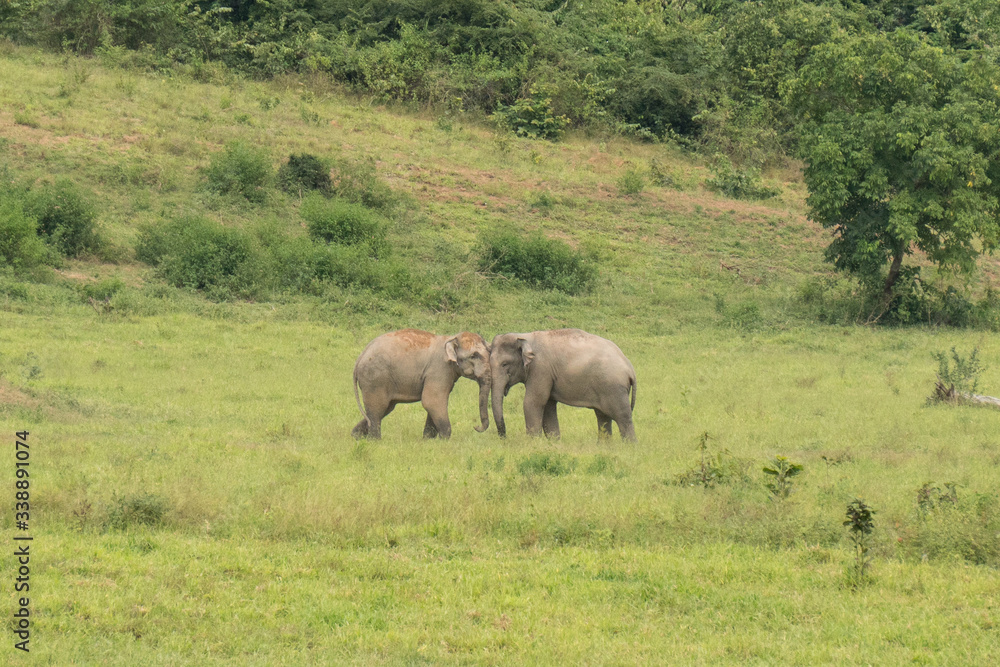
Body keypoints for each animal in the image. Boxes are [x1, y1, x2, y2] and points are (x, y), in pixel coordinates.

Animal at [352, 330, 492, 444]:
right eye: (473, 356)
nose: (475, 426)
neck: (451, 337)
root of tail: (360, 357)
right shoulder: (439, 370)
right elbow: (432, 401)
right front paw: (443, 441)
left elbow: (434, 404)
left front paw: (427, 440)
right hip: (375, 379)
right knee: (378, 408)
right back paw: (375, 441)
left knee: (385, 408)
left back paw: (356, 436)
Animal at [488, 330, 636, 444]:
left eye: (504, 364)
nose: (504, 438)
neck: (524, 336)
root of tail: (630, 368)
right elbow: (548, 406)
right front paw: (554, 443)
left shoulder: (540, 369)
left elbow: (533, 402)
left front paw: (533, 444)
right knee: (603, 416)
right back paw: (604, 447)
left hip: (614, 388)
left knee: (622, 417)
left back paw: (629, 447)